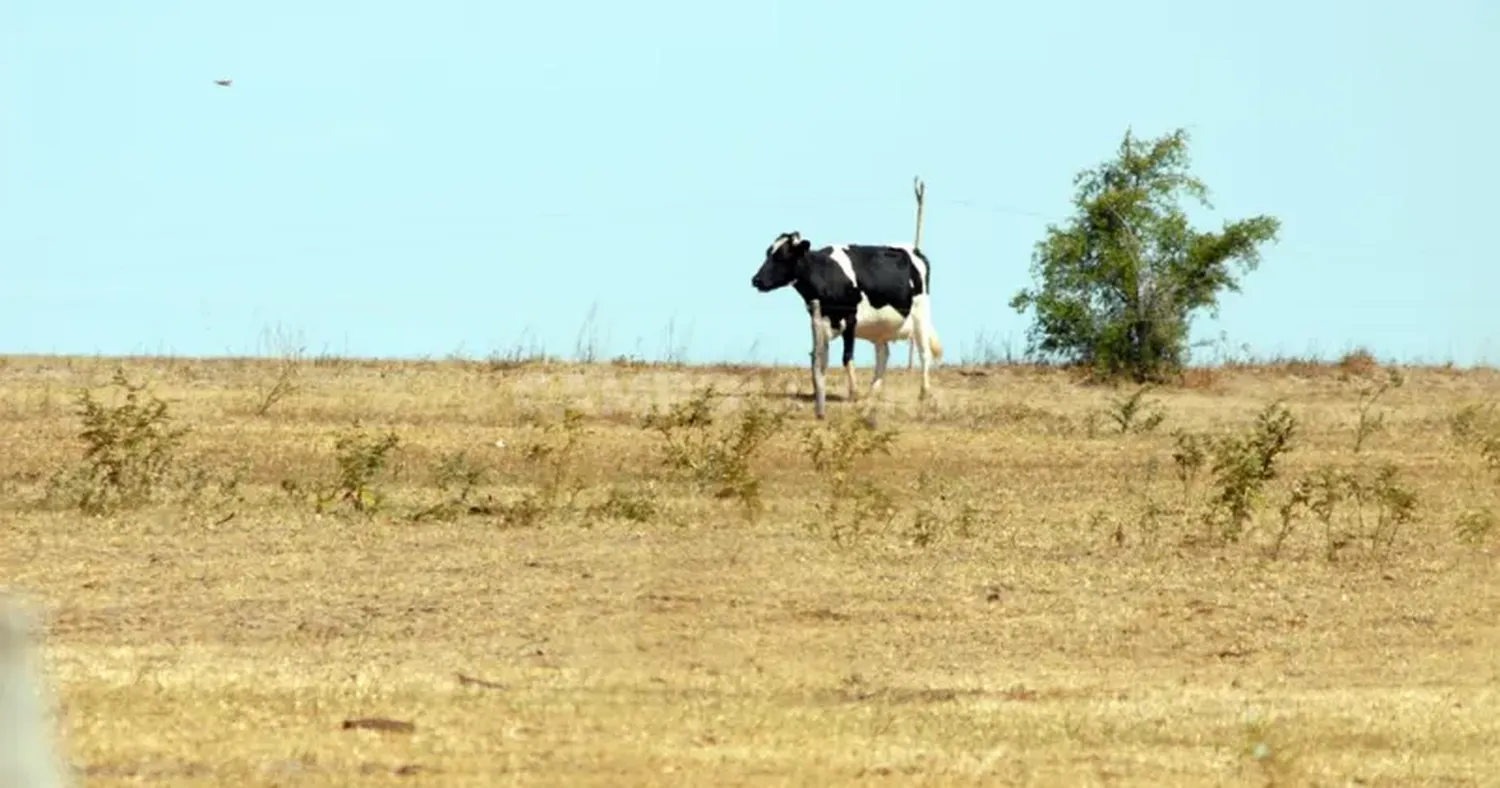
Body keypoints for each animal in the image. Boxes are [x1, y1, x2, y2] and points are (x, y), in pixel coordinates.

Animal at [750, 232, 948, 420]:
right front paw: (818, 391)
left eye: (782, 256)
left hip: (920, 313)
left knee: (924, 353)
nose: (756, 280)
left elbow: (847, 357)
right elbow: (821, 358)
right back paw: (873, 391)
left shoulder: (851, 319)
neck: (825, 273)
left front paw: (854, 393)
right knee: (883, 354)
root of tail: (913, 249)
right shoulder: (819, 321)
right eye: (768, 253)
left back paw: (924, 392)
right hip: (881, 327)